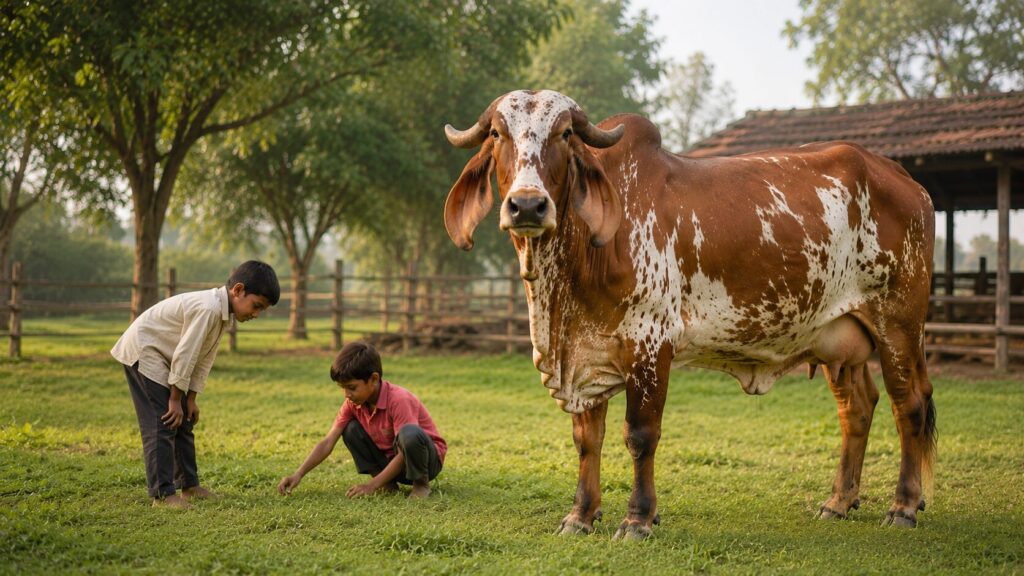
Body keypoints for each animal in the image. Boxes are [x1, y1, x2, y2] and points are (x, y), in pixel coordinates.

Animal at [443, 89, 936, 540]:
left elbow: (641, 435)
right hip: (839, 338)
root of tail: (904, 178)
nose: (527, 205)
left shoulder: (650, 344)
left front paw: (638, 519)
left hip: (898, 326)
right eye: (496, 133)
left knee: (909, 405)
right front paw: (580, 515)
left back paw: (904, 506)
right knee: (857, 409)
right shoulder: (586, 356)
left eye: (565, 134)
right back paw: (839, 501)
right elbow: (587, 439)